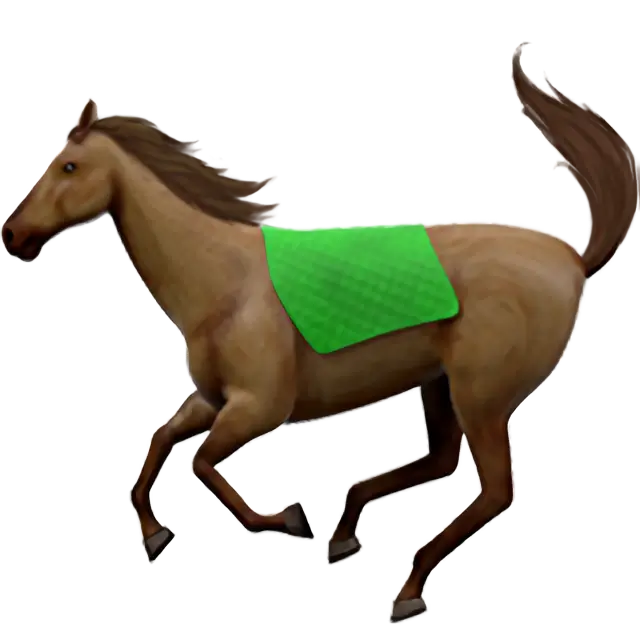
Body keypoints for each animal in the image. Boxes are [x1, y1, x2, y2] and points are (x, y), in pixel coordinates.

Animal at [1, 48, 632, 624]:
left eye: (68, 167)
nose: (14, 236)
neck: (223, 280)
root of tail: (573, 259)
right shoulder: (214, 399)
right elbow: (160, 443)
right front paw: (157, 533)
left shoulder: (259, 408)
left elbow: (202, 464)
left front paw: (287, 519)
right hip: (440, 385)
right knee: (441, 462)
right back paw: (347, 531)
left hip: (482, 396)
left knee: (494, 492)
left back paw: (408, 587)